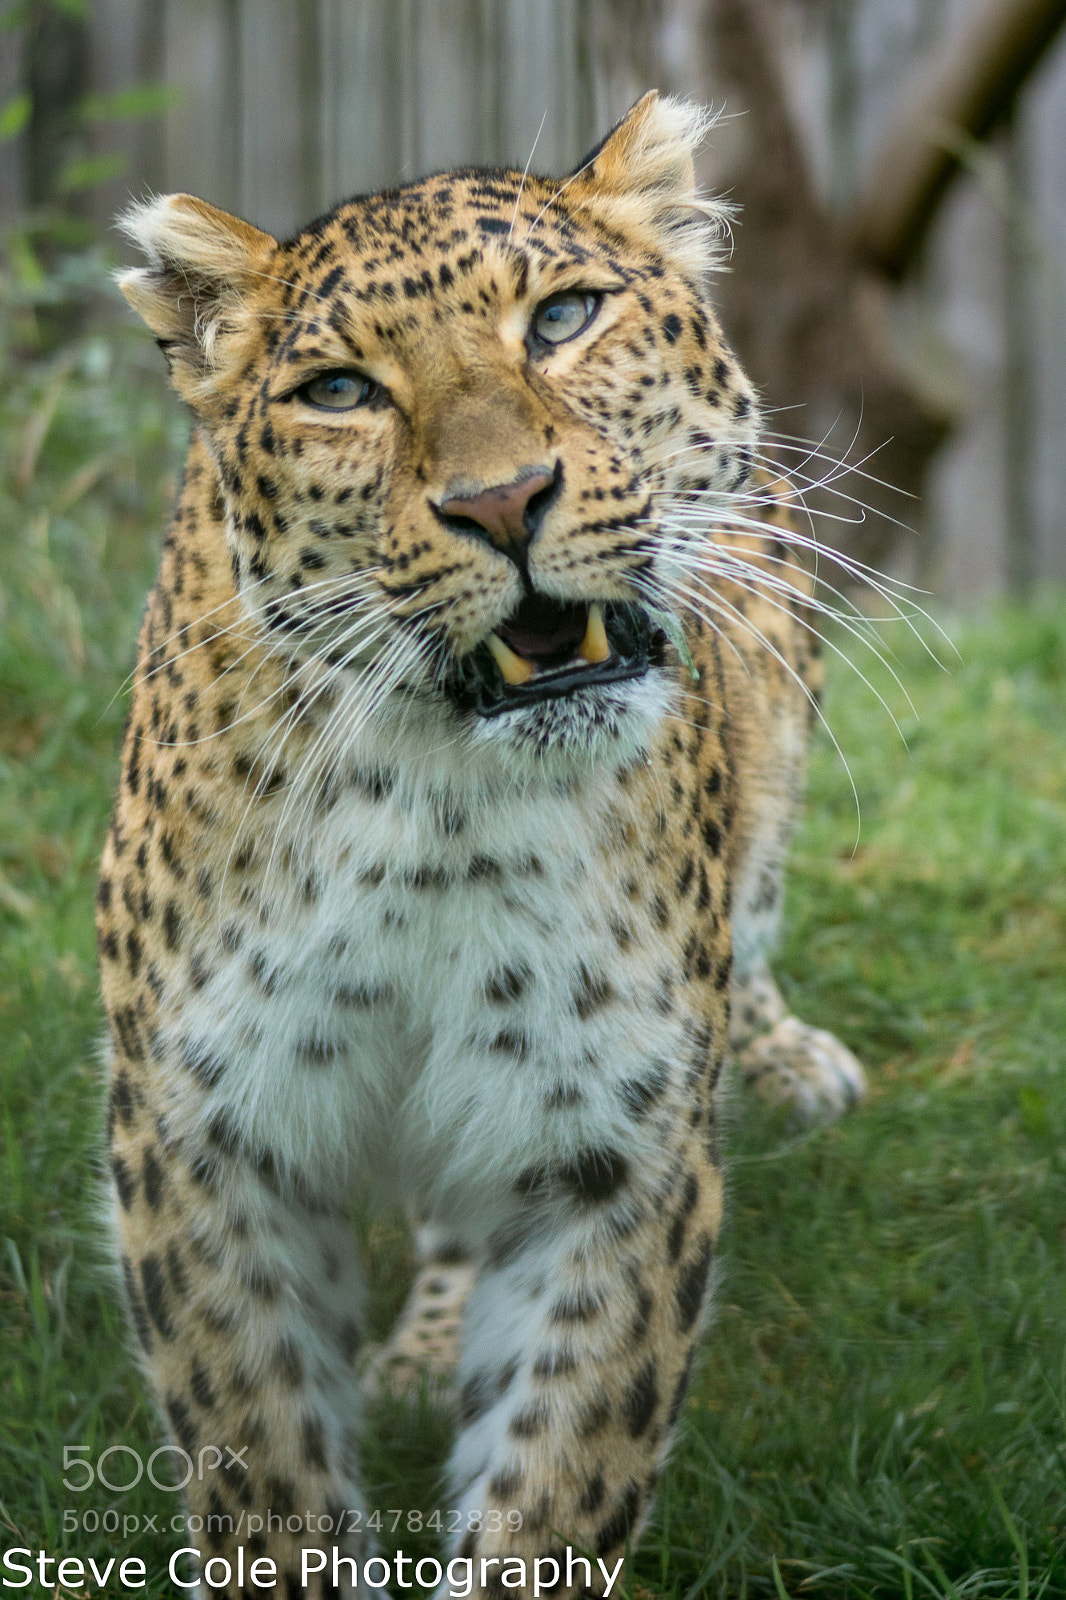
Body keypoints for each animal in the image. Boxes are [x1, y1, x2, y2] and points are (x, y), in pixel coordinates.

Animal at [99, 92, 865, 1600]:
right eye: (340, 393)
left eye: (561, 318)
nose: (505, 502)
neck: (440, 808)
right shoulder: (201, 1139)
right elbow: (258, 1465)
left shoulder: (613, 1148)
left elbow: (558, 1479)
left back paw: (787, 1057)